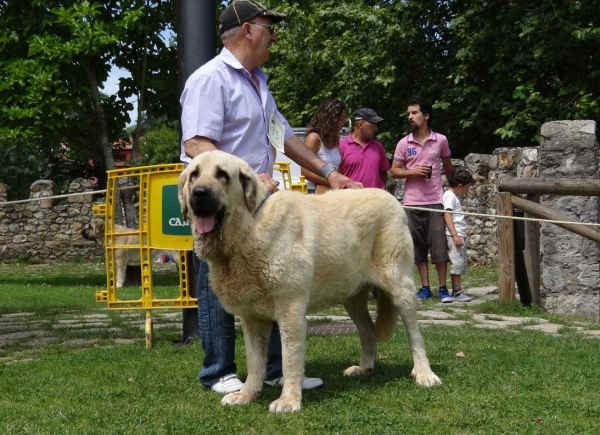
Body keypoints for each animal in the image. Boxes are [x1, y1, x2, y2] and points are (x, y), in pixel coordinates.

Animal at [178, 152, 440, 414]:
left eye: (222, 174)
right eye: (194, 175)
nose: (199, 193)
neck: (249, 228)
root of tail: (390, 197)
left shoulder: (290, 311)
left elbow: (290, 359)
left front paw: (288, 400)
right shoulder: (252, 318)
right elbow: (254, 361)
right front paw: (246, 394)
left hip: (400, 286)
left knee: (415, 335)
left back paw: (424, 374)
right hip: (351, 297)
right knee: (367, 331)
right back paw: (364, 367)